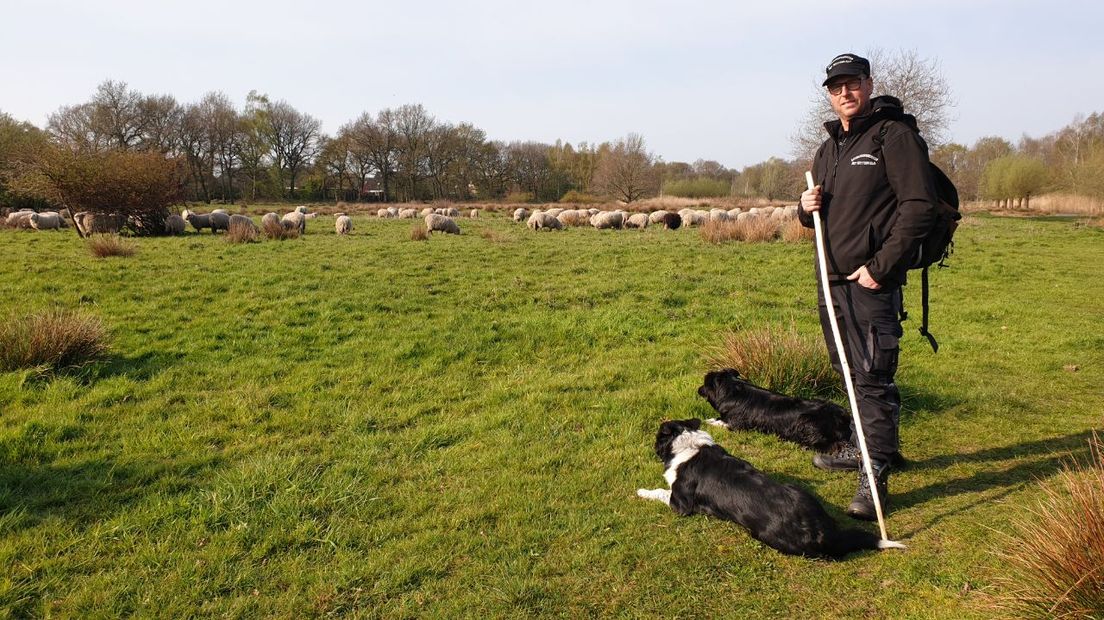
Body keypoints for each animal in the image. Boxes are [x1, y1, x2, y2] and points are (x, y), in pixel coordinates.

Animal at [635, 417, 900, 558]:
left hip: (764, 535)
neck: (689, 445)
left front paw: (641, 492)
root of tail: (824, 533)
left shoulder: (679, 504)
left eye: (657, 438)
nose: (650, 446)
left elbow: (660, 491)